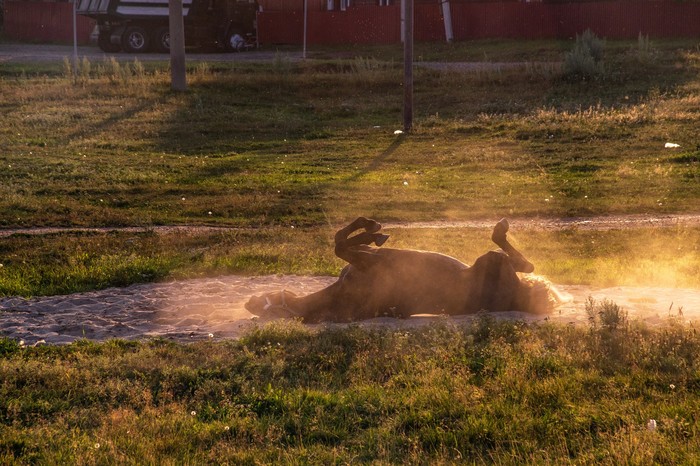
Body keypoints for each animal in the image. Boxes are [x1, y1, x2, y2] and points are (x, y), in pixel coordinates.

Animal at [246, 217, 564, 322]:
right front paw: (372, 230)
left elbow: (342, 241)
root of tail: (519, 298)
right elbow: (340, 243)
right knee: (524, 262)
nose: (249, 301)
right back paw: (500, 228)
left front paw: (371, 232)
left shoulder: (364, 260)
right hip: (492, 260)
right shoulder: (367, 260)